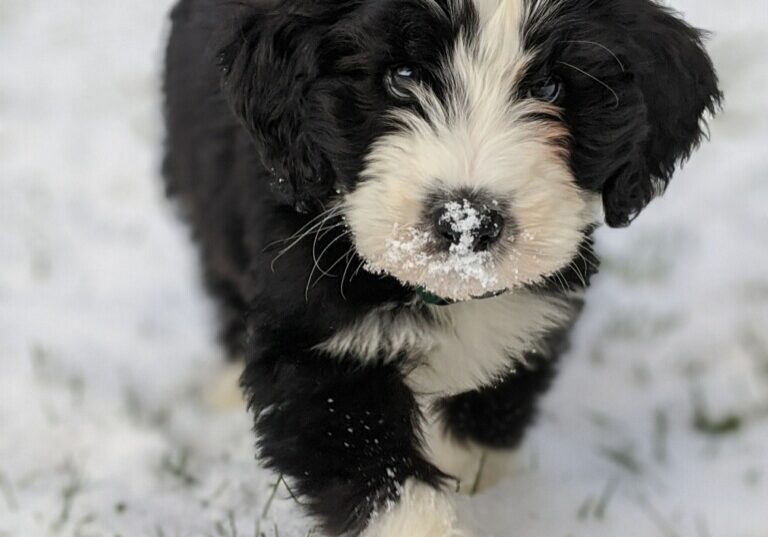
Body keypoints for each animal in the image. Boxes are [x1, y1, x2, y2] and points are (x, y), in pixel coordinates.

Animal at [162, 2, 720, 532]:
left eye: (548, 86)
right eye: (403, 76)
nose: (466, 220)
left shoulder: (535, 320)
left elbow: (485, 421)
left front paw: (472, 487)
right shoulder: (317, 345)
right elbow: (376, 471)